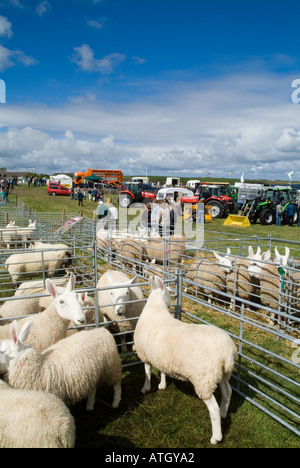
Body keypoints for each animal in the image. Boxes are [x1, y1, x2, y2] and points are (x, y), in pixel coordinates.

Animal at [135, 276, 238, 444]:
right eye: (169, 292)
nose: (171, 304)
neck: (156, 310)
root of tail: (227, 352)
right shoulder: (161, 356)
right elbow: (162, 371)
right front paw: (162, 385)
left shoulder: (145, 354)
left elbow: (147, 371)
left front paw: (146, 388)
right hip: (221, 374)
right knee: (227, 392)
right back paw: (224, 413)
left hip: (204, 380)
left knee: (213, 409)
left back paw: (216, 436)